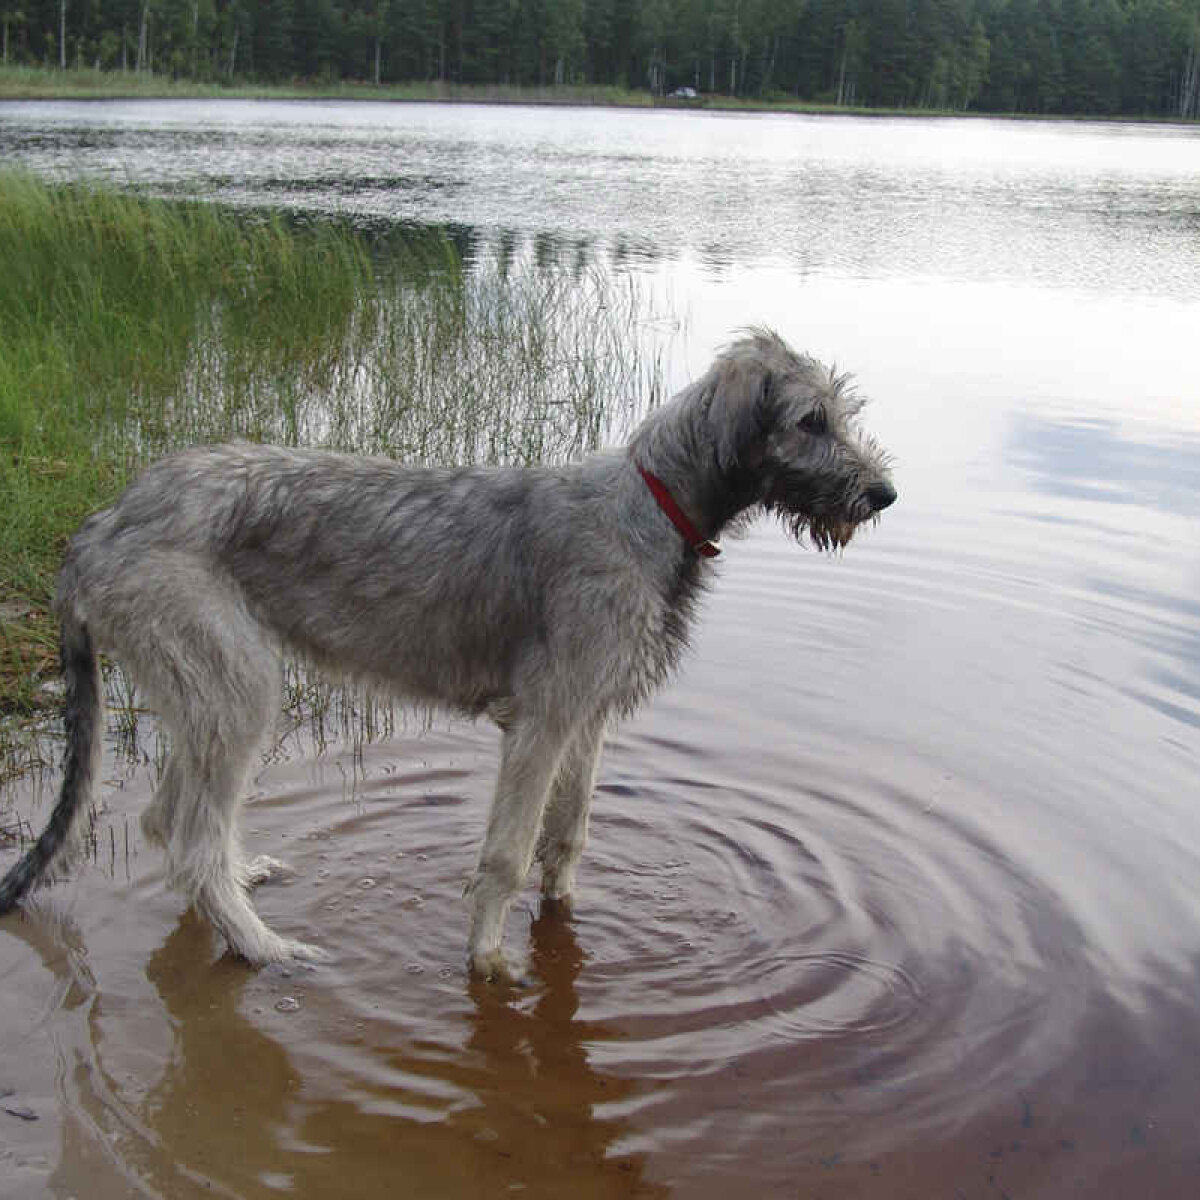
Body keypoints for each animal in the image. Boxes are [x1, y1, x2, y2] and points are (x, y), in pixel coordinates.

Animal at [0, 326, 892, 974]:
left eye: (840, 412)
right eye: (811, 421)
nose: (883, 494)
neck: (651, 507)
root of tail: (97, 526)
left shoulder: (588, 715)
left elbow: (568, 833)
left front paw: (564, 911)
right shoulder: (542, 721)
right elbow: (507, 854)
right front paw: (490, 959)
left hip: (205, 692)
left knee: (166, 822)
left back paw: (240, 888)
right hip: (237, 685)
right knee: (189, 839)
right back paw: (263, 946)